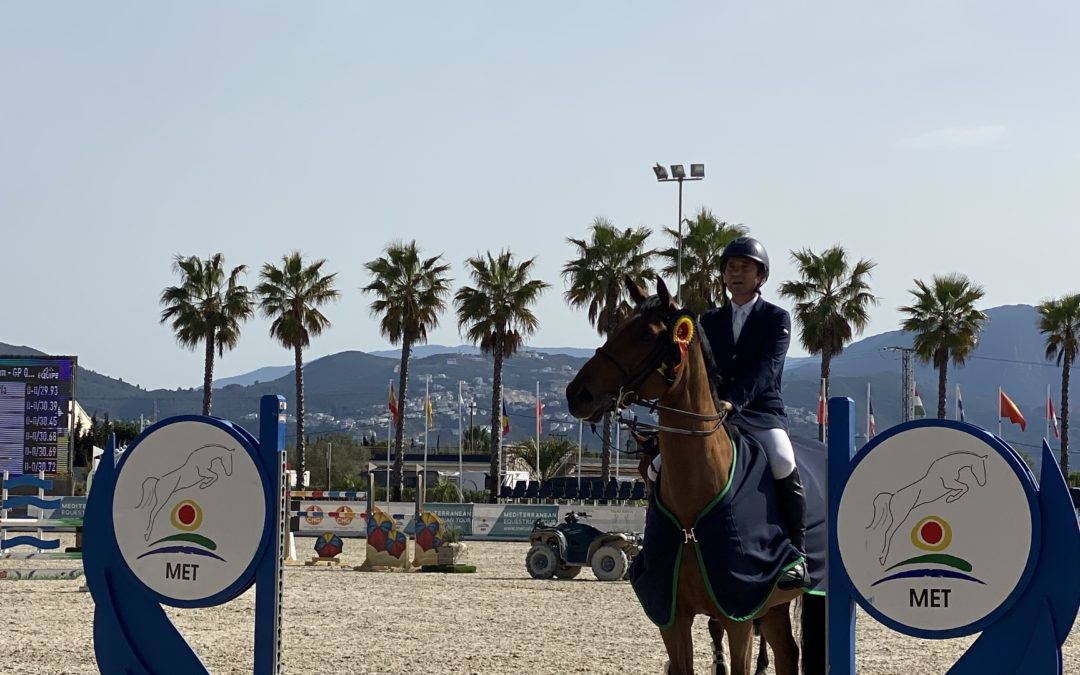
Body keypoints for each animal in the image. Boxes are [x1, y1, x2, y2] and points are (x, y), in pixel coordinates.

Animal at [565, 278, 803, 673]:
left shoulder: (738, 611)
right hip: (774, 606)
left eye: (645, 336)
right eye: (616, 328)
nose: (577, 394)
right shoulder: (672, 617)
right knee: (787, 651)